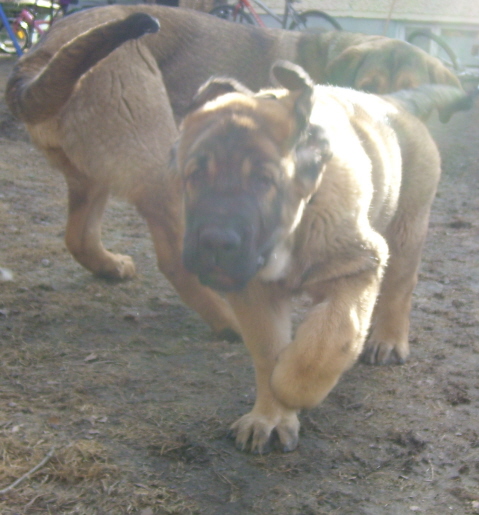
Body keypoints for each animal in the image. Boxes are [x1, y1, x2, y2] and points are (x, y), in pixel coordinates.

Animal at [5, 6, 464, 340]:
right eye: (369, 82)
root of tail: (41, 54)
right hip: (167, 171)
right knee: (178, 262)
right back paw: (229, 321)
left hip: (92, 176)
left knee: (79, 237)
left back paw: (110, 266)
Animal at [173, 62, 472, 454]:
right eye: (194, 176)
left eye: (264, 181)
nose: (214, 242)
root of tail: (393, 102)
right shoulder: (252, 290)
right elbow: (267, 349)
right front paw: (270, 416)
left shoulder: (358, 266)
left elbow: (328, 338)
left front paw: (293, 387)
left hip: (408, 227)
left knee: (400, 289)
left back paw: (389, 340)